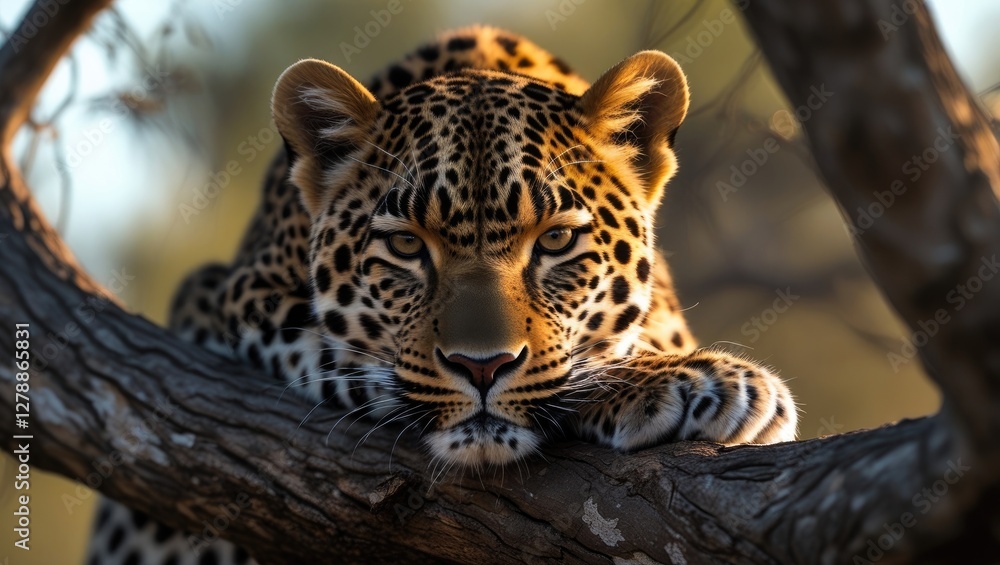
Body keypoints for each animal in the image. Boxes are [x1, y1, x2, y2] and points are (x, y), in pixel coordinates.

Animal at [87, 25, 797, 565]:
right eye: (406, 246)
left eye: (556, 240)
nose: (482, 367)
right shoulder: (223, 296)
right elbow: (357, 359)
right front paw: (690, 381)